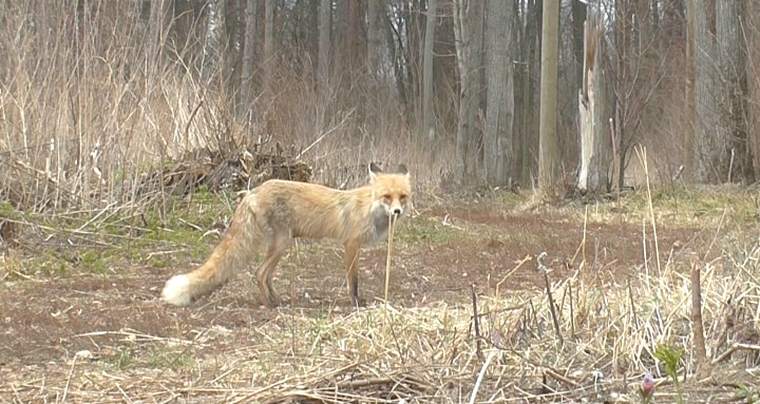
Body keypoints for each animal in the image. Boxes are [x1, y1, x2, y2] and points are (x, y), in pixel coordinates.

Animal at [160, 163, 410, 308]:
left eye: (403, 196)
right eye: (387, 196)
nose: (397, 212)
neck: (370, 208)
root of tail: (252, 192)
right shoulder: (351, 244)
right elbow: (353, 280)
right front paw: (356, 303)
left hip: (280, 245)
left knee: (265, 275)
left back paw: (277, 300)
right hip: (282, 243)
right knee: (260, 273)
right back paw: (269, 305)